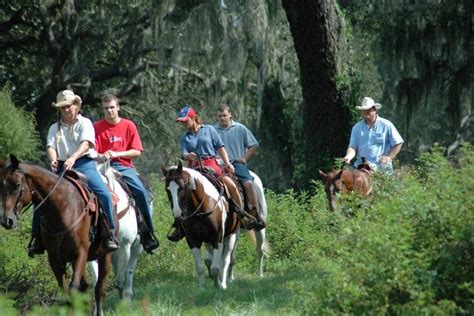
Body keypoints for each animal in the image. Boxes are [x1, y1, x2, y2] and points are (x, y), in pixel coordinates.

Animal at [1, 154, 113, 314]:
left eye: (17, 184)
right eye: (1, 185)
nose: (7, 220)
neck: (62, 208)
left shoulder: (80, 252)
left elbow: (73, 289)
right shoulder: (55, 257)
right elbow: (66, 294)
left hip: (105, 254)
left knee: (99, 289)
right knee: (86, 287)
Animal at [89, 165, 143, 302]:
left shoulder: (125, 247)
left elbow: (120, 280)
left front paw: (124, 303)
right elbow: (97, 282)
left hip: (136, 248)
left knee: (129, 271)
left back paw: (128, 295)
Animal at [162, 162, 241, 290]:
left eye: (182, 187)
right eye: (167, 189)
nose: (178, 215)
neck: (201, 209)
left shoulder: (217, 238)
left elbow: (216, 267)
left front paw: (218, 286)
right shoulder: (193, 240)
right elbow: (200, 267)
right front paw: (202, 288)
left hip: (232, 235)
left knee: (225, 260)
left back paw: (223, 283)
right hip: (208, 241)